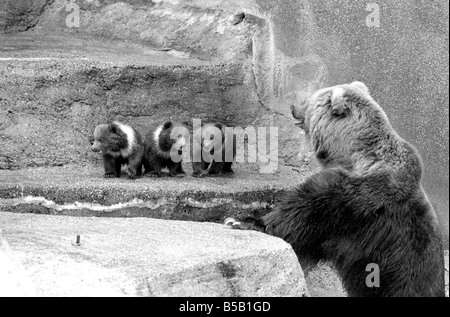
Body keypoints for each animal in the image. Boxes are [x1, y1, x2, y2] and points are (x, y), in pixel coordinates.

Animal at [227, 81, 444, 296]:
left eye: (310, 99)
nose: (293, 106)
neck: (352, 156)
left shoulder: (354, 200)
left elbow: (303, 216)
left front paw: (242, 221)